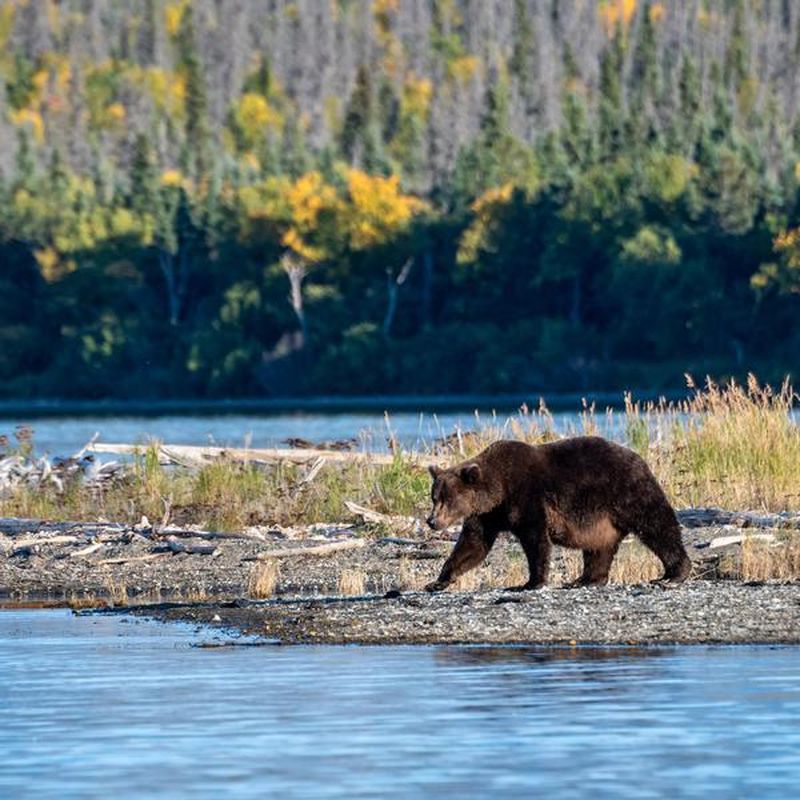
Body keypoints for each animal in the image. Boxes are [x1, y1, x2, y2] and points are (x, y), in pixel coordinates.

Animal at [424, 434, 692, 592]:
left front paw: (530, 582)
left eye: (446, 500)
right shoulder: (488, 515)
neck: (499, 489)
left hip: (626, 491)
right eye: (434, 497)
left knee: (656, 525)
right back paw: (584, 579)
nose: (431, 521)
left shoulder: (527, 497)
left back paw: (673, 574)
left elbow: (536, 540)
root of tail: (640, 458)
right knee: (599, 547)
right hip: (602, 518)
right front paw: (439, 581)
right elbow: (473, 545)